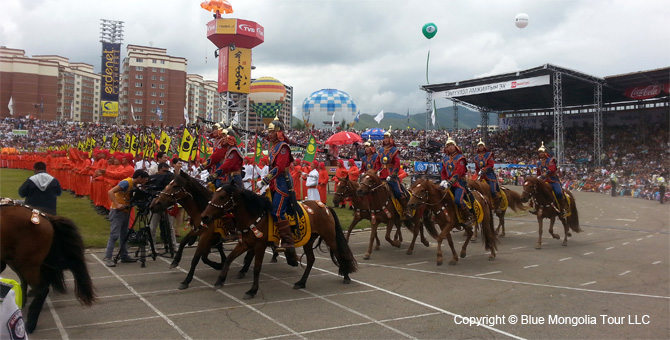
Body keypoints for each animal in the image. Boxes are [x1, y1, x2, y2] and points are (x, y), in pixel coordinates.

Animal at [0, 203, 97, 334]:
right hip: (17, 261)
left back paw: (30, 324)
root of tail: (45, 216)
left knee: (41, 289)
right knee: (24, 281)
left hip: (27, 264)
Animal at [201, 186, 360, 300]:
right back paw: (301, 282)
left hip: (329, 237)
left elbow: (256, 268)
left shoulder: (259, 246)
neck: (255, 216)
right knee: (311, 259)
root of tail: (324, 206)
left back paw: (346, 276)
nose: (204, 216)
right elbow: (229, 259)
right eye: (213, 195)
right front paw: (219, 281)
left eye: (222, 197)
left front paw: (252, 290)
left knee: (338, 253)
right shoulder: (244, 244)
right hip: (309, 240)